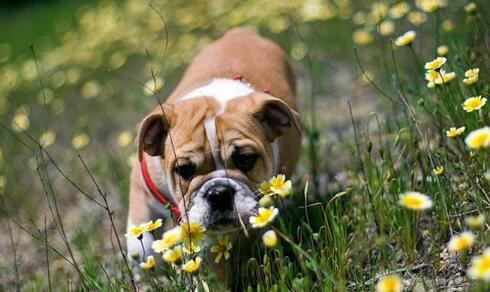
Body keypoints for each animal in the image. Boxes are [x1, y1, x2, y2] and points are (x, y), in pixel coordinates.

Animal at [125, 28, 302, 282]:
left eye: (246, 159)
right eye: (183, 170)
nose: (218, 193)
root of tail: (242, 32)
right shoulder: (143, 183)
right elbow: (142, 238)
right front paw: (147, 266)